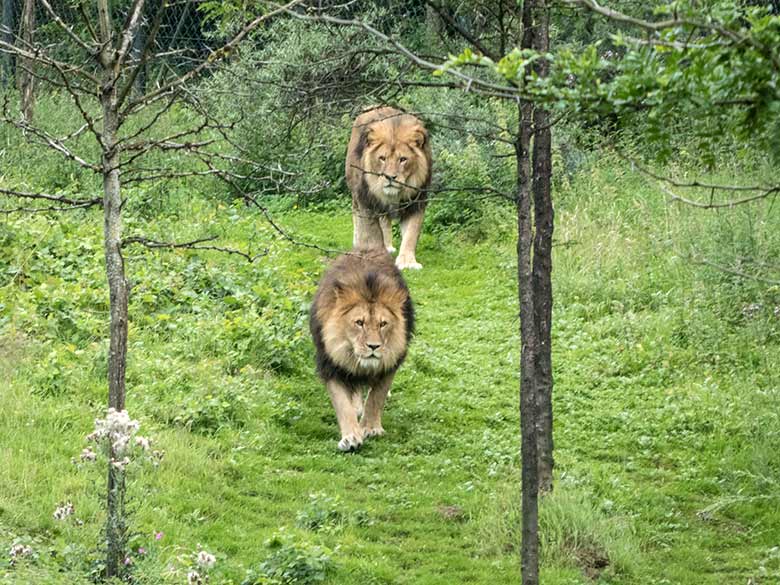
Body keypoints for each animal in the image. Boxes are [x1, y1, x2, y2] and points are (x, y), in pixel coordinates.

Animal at [310, 246, 414, 452]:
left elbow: (376, 397)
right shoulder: (331, 366)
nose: (373, 346)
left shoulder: (390, 364)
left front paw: (371, 428)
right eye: (359, 322)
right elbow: (343, 404)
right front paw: (351, 436)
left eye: (383, 324)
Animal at [348, 105, 432, 270]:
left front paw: (407, 262)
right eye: (382, 158)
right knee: (358, 217)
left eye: (403, 159)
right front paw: (374, 254)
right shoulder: (366, 201)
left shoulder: (416, 202)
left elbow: (411, 233)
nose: (390, 177)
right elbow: (371, 231)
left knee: (385, 221)